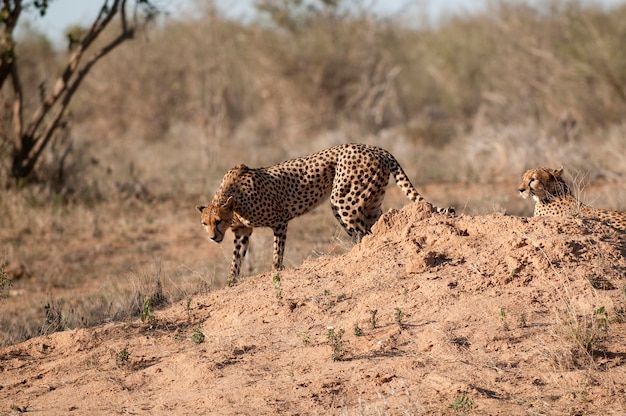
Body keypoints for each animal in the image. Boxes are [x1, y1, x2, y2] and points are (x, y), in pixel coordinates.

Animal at [196, 142, 454, 282]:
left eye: (218, 221)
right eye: (204, 223)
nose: (212, 237)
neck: (233, 199)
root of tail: (374, 147)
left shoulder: (280, 220)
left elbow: (277, 255)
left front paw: (275, 274)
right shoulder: (242, 231)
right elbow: (235, 260)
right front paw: (230, 283)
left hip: (342, 201)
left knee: (365, 234)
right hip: (370, 203)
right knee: (375, 229)